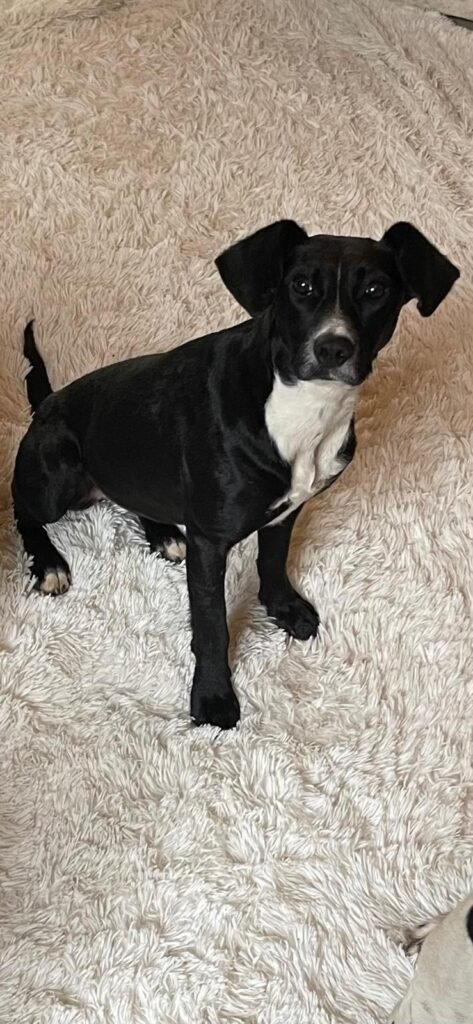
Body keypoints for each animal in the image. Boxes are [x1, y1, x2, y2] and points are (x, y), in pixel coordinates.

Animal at [12, 220, 459, 728]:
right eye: (301, 286)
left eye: (374, 290)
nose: (333, 348)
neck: (298, 405)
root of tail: (47, 402)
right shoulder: (209, 542)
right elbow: (212, 627)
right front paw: (213, 697)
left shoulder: (286, 510)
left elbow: (273, 560)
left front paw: (283, 608)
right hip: (55, 475)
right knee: (23, 507)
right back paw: (48, 562)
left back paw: (163, 532)